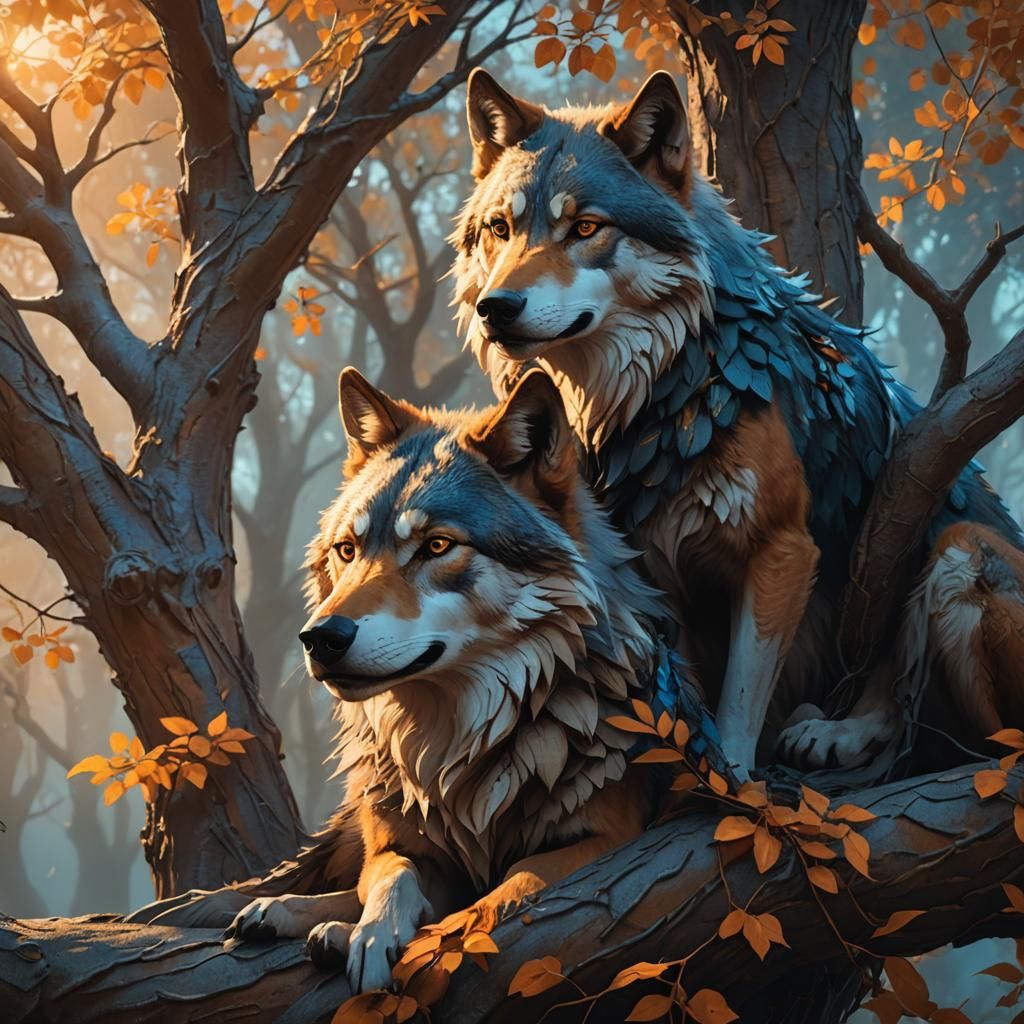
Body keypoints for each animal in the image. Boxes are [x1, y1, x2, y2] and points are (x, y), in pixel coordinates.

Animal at [132, 367, 725, 992]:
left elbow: (497, 897)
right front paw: (373, 934)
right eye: (348, 549)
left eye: (437, 545)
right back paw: (268, 912)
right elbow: (390, 876)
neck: (457, 740)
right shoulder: (404, 844)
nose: (319, 638)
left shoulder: (606, 839)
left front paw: (416, 956)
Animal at [452, 69, 1024, 776]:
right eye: (500, 228)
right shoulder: (654, 573)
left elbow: (738, 704)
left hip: (957, 547)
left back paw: (841, 734)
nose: (496, 307)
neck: (664, 388)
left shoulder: (782, 548)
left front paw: (736, 783)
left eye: (585, 227)